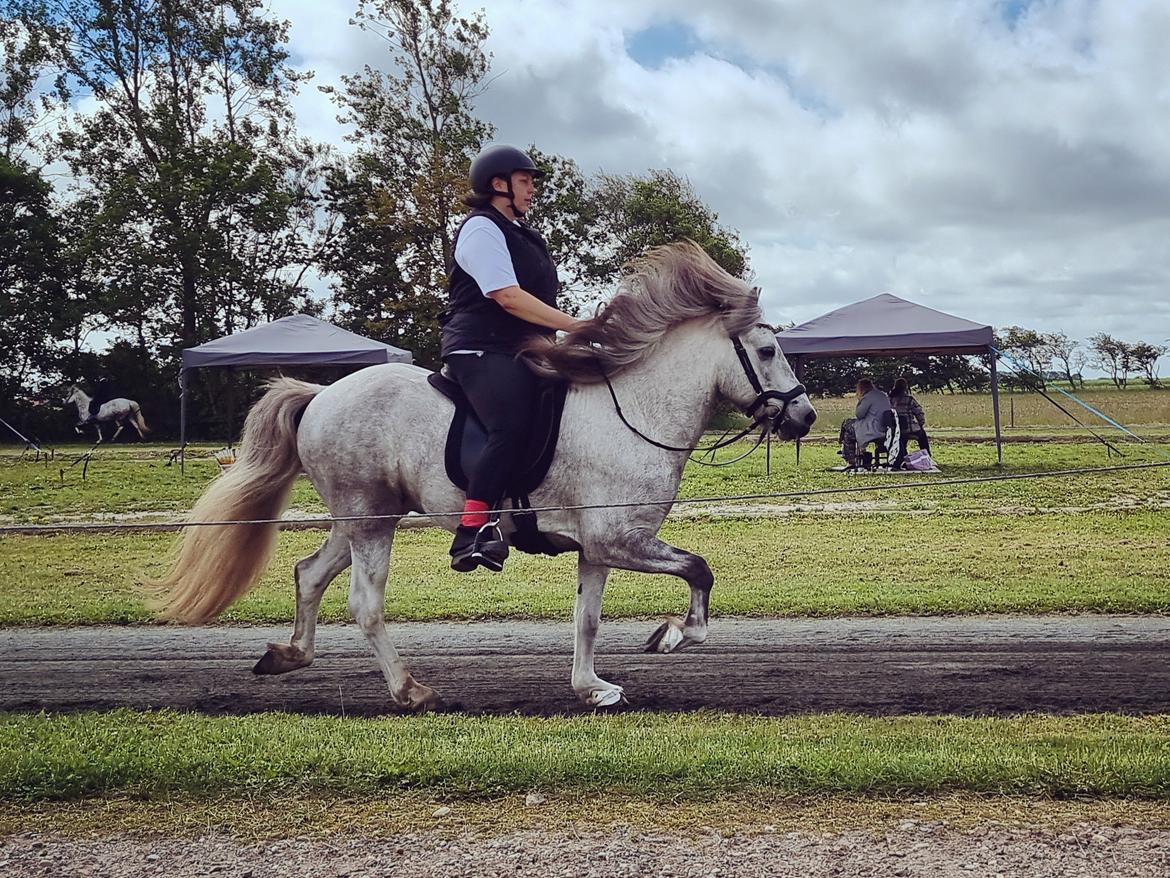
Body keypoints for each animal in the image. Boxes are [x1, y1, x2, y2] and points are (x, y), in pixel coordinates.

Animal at [150, 244, 819, 711]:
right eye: (766, 352)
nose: (805, 416)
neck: (634, 410)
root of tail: (320, 395)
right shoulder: (621, 541)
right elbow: (699, 571)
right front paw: (674, 635)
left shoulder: (596, 550)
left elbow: (588, 619)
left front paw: (591, 688)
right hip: (370, 522)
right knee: (365, 602)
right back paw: (411, 692)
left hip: (361, 517)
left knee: (310, 574)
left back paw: (289, 655)